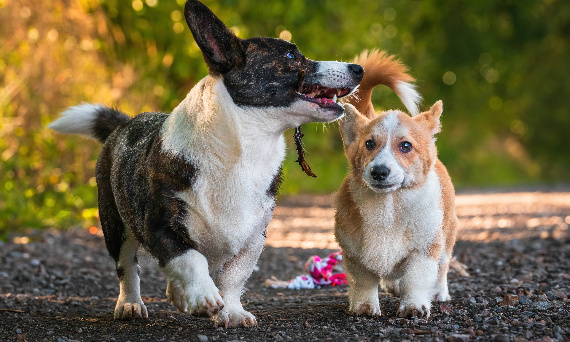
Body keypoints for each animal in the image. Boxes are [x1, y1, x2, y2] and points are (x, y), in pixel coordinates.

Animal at [47, 0, 360, 328]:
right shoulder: (160, 226)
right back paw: (131, 304)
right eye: (290, 55)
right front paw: (205, 297)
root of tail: (125, 122)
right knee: (127, 267)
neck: (245, 149)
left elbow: (233, 278)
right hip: (115, 224)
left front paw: (232, 312)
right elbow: (190, 259)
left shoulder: (253, 239)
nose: (358, 69)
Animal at [332, 50, 458, 318]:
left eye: (406, 146)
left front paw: (414, 307)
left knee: (442, 267)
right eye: (369, 144)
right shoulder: (355, 255)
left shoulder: (424, 251)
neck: (388, 208)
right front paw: (364, 308)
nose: (379, 171)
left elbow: (416, 280)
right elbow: (364, 283)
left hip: (447, 235)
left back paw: (439, 293)